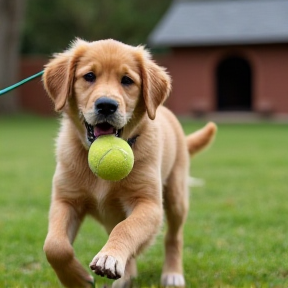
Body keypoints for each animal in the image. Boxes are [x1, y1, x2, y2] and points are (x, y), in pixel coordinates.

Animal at [42, 38, 216, 288]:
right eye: (89, 76)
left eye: (127, 80)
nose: (106, 105)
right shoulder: (65, 200)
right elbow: (54, 246)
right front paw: (76, 279)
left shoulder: (149, 205)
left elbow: (126, 228)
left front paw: (109, 256)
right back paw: (126, 277)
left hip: (176, 196)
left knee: (173, 236)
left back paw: (172, 274)